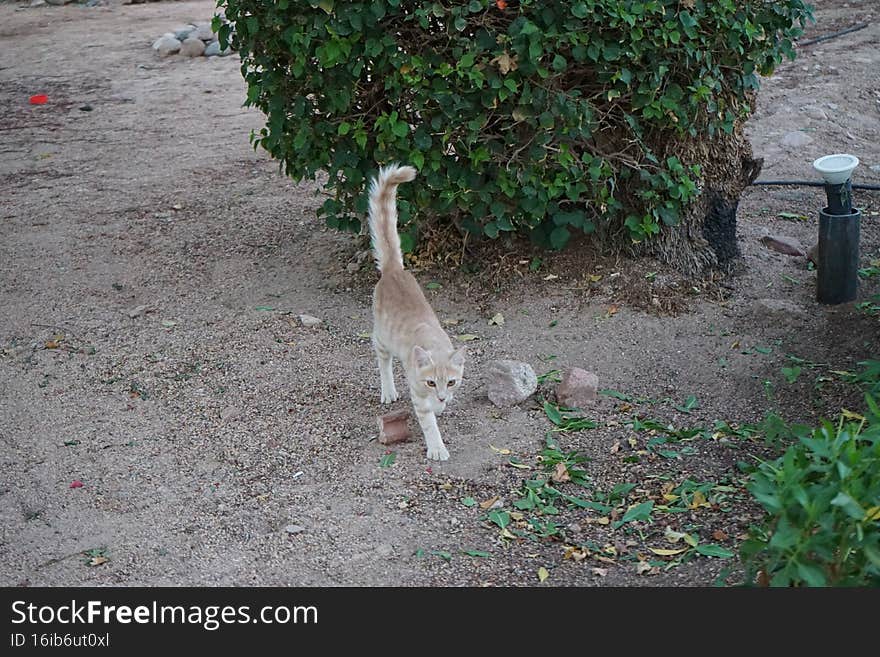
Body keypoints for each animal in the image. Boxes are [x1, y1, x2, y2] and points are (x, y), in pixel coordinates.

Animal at [366, 164, 464, 462]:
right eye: (431, 382)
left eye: (452, 382)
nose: (442, 396)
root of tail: (394, 270)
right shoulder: (419, 397)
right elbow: (429, 422)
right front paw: (437, 447)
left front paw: (443, 406)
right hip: (382, 338)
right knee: (382, 360)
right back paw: (388, 390)